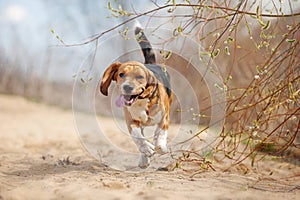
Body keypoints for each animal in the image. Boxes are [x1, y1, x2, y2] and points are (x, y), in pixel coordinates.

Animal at [99, 25, 172, 168]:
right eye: (121, 74)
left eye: (139, 77)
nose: (127, 87)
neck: (141, 100)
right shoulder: (131, 121)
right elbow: (137, 136)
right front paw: (146, 149)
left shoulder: (165, 116)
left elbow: (160, 132)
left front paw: (160, 146)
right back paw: (144, 158)